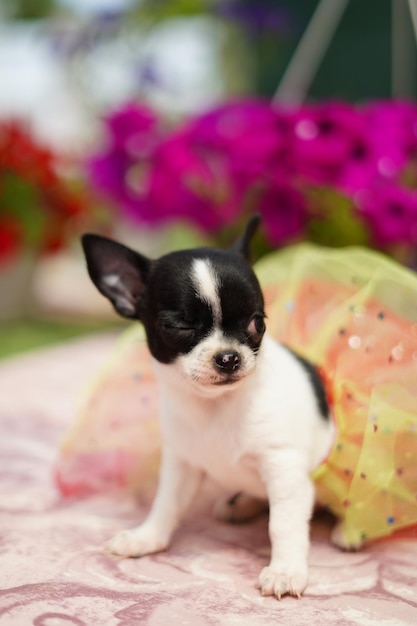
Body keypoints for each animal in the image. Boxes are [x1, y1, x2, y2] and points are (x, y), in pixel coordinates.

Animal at [83, 216, 334, 600]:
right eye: (180, 326)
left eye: (257, 323)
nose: (228, 357)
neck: (215, 407)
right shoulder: (182, 463)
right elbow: (167, 503)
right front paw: (147, 537)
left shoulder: (285, 470)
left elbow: (283, 524)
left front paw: (286, 571)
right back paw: (241, 504)